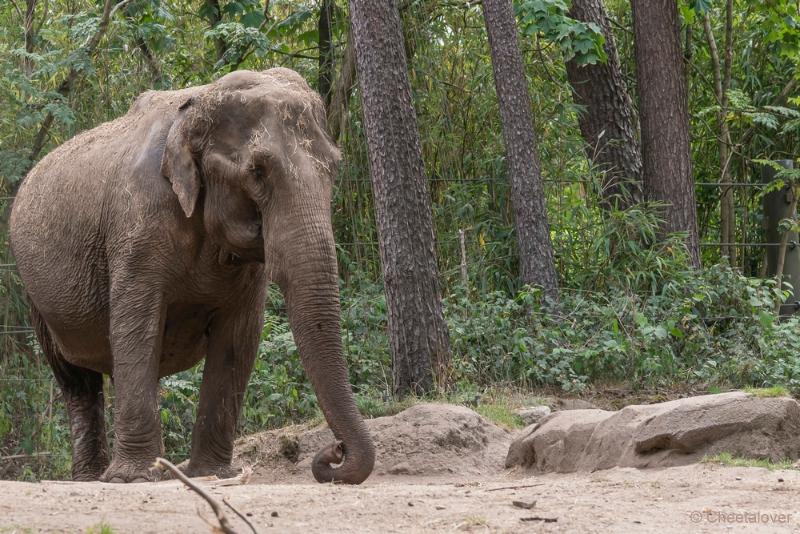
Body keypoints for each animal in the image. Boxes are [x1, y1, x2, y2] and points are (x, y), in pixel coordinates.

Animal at [10, 67, 376, 486]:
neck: (198, 102)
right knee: (76, 379)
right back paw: (92, 478)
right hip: (34, 293)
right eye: (257, 172)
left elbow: (238, 339)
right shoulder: (136, 231)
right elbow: (135, 328)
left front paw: (209, 474)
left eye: (334, 167)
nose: (333, 453)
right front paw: (135, 479)